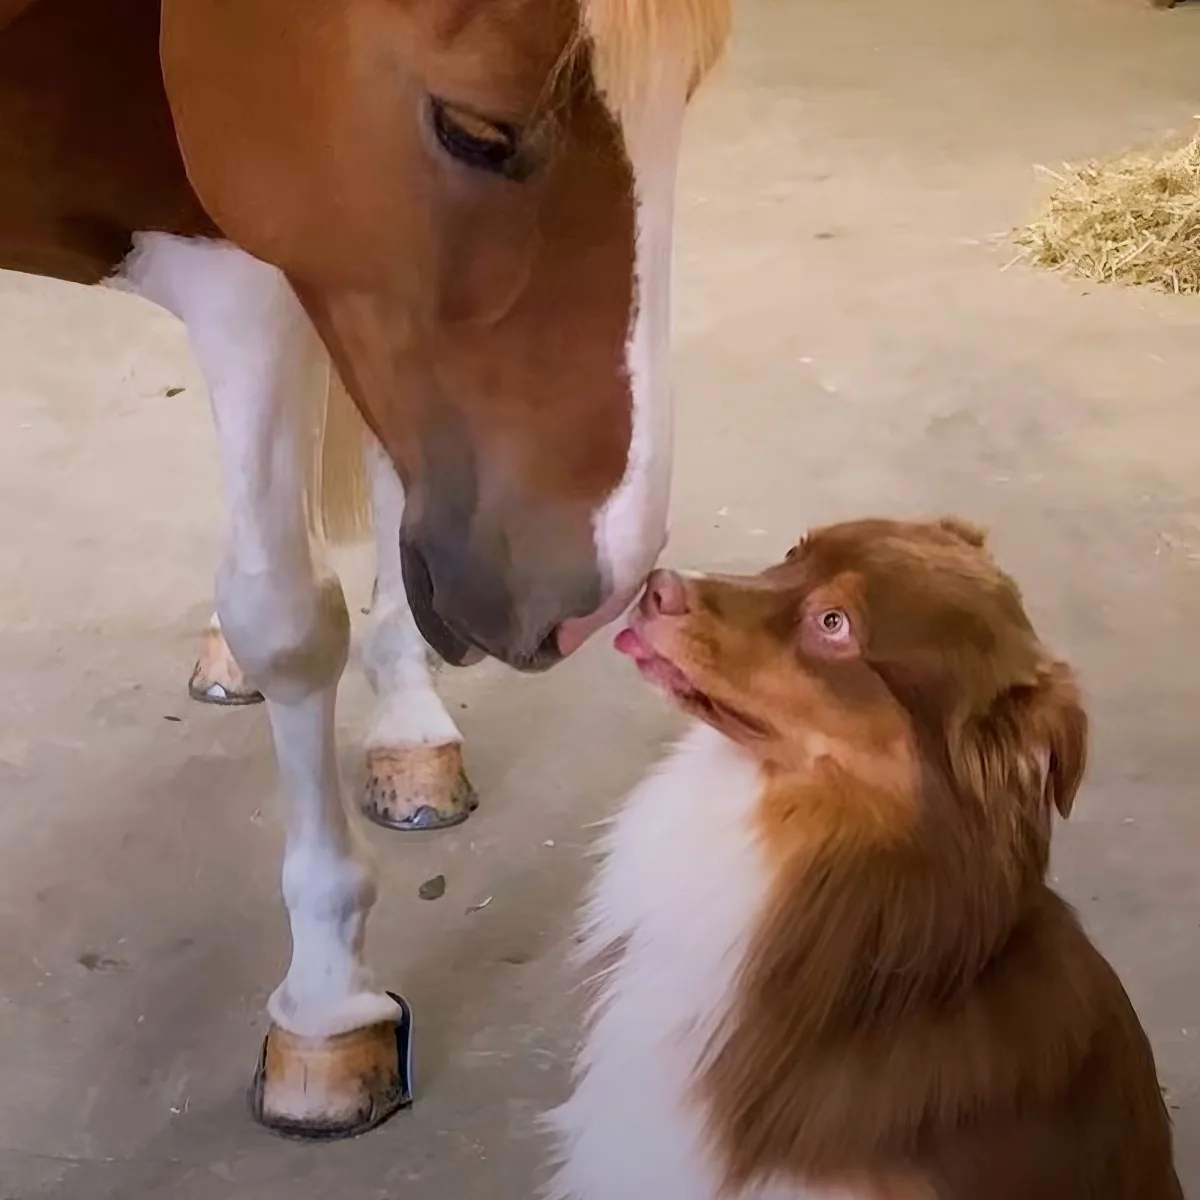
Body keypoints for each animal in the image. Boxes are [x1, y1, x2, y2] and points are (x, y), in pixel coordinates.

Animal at [0, 0, 730, 1140]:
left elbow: (295, 612)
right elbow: (286, 615)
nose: (590, 602)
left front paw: (325, 1002)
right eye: (473, 130)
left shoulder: (254, 244)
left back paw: (407, 726)